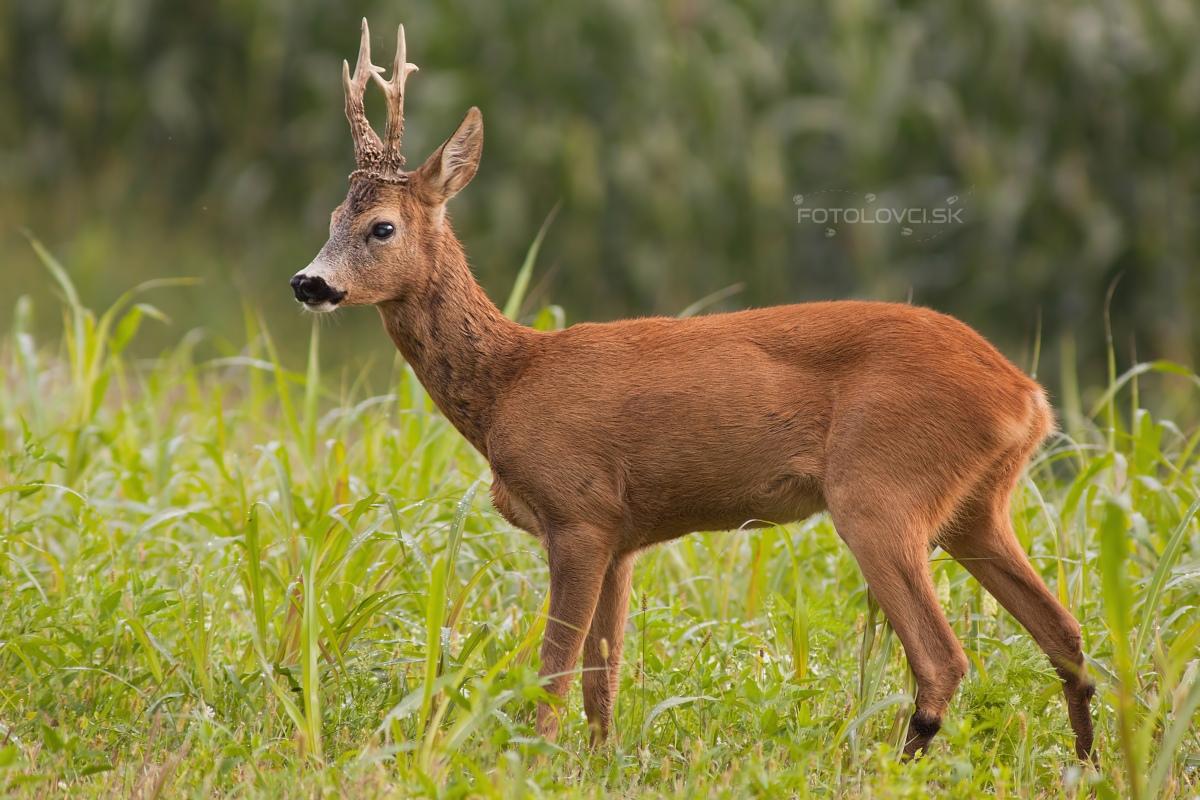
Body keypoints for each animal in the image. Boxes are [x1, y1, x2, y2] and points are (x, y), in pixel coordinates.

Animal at [289, 20, 1096, 761]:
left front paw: (533, 760)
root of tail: (1027, 396)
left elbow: (554, 669)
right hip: (976, 505)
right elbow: (602, 677)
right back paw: (1086, 760)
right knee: (1066, 632)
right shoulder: (620, 535)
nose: (308, 282)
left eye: (381, 227)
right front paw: (601, 760)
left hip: (880, 488)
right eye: (330, 219)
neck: (507, 385)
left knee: (944, 657)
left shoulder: (578, 511)